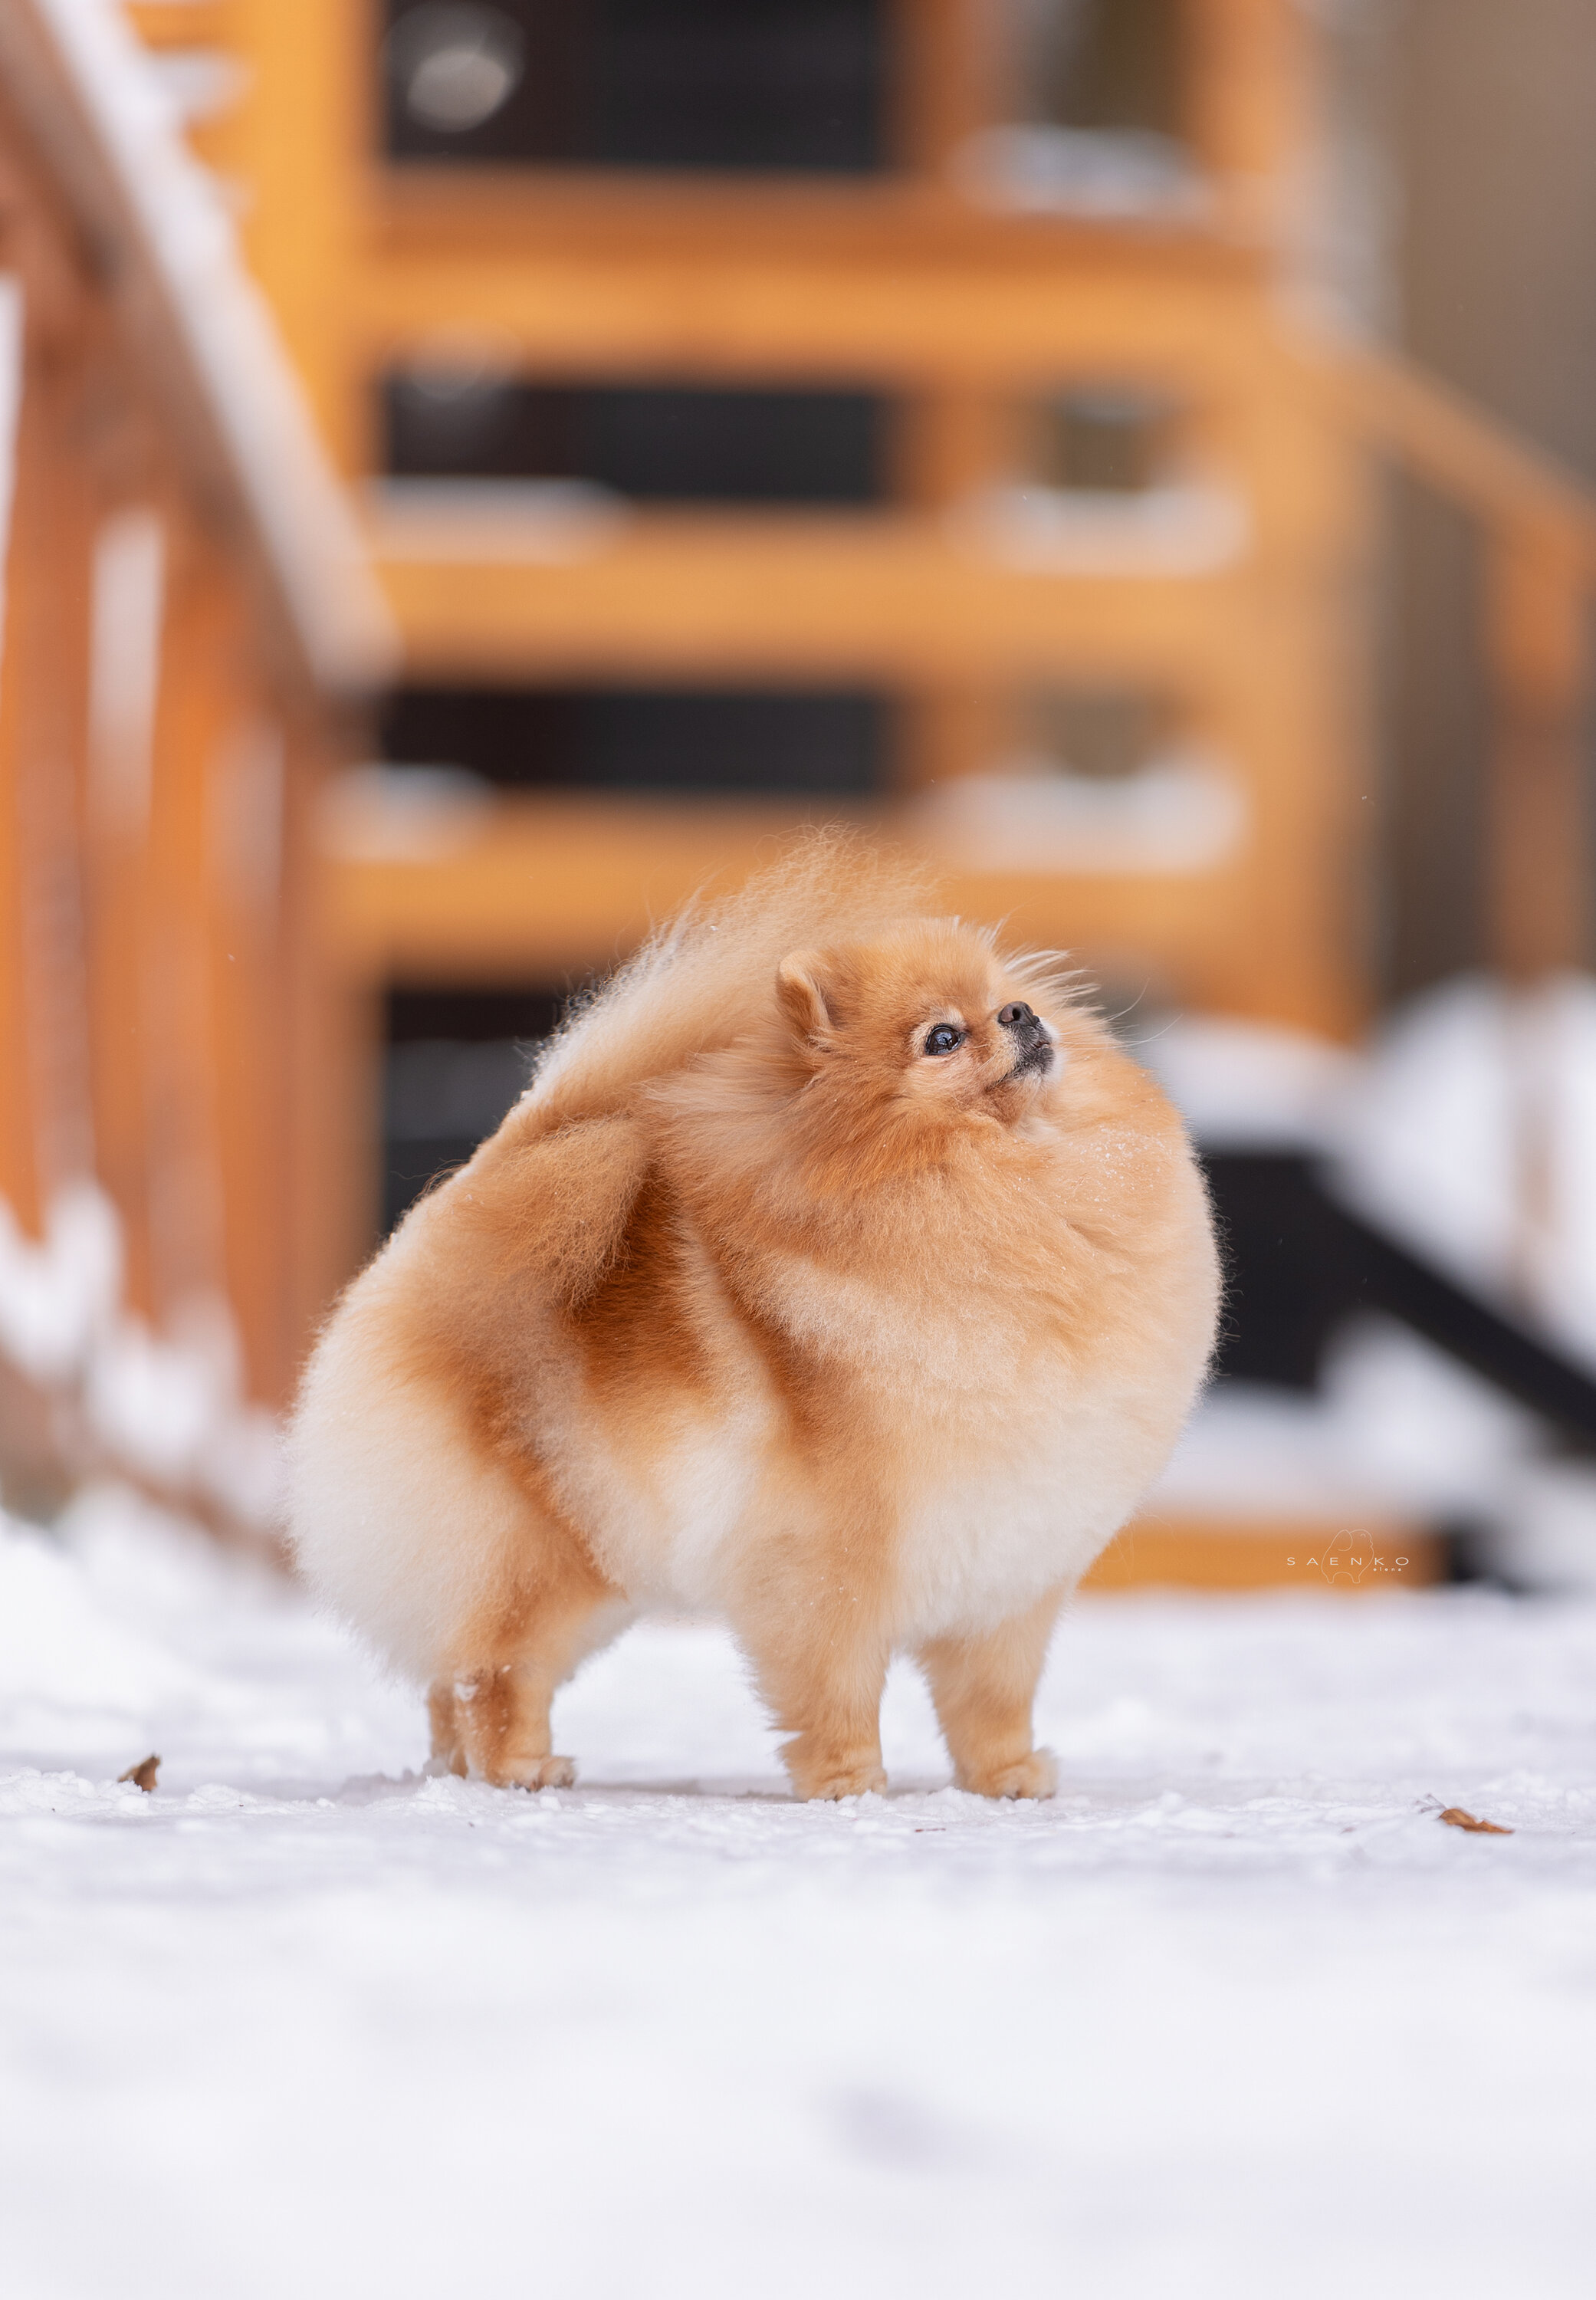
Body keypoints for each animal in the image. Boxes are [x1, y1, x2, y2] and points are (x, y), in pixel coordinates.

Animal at [291, 837, 1214, 1803]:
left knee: (452, 1675)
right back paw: (520, 1769)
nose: (1024, 1014)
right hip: (546, 1557)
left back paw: (461, 1770)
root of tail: (464, 1209)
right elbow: (837, 1692)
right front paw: (851, 1786)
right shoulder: (828, 1569)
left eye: (1006, 1000)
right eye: (943, 1038)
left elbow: (991, 1702)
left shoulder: (1009, 1579)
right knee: (495, 1672)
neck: (1002, 1185)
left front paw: (1007, 1780)